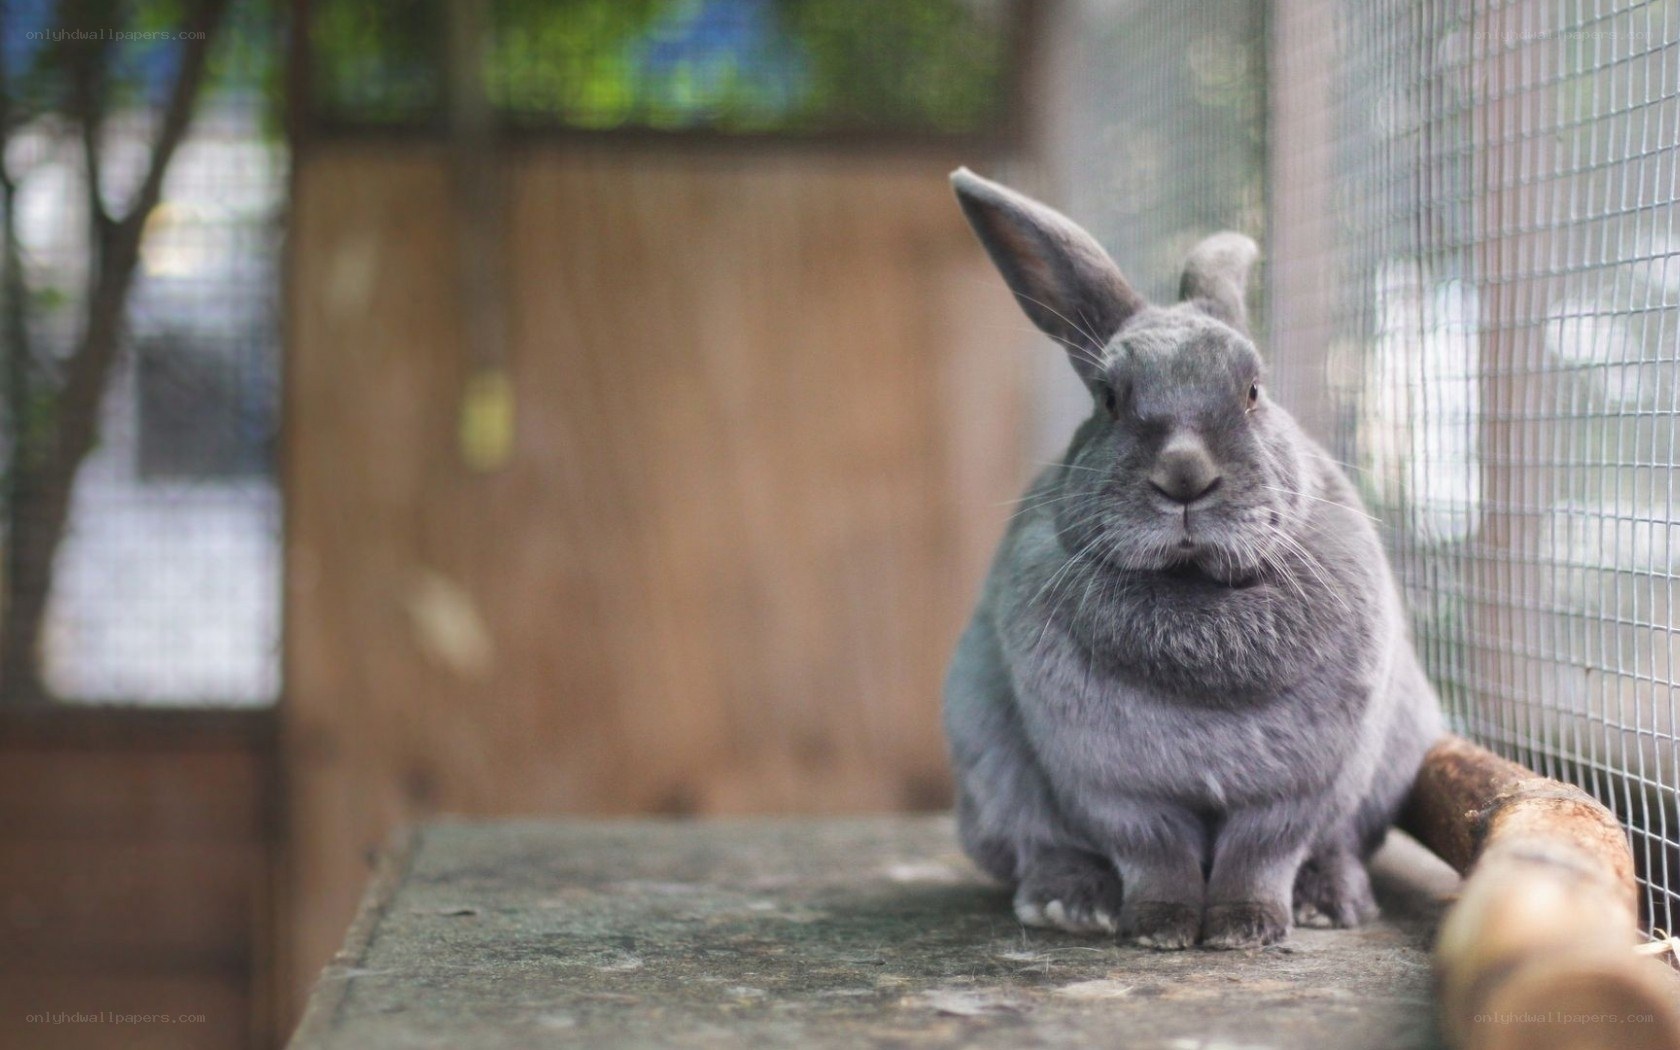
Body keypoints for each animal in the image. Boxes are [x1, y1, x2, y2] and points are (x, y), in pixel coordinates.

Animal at [943, 168, 1444, 950]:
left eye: (1254, 390)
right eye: (1110, 398)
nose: (1184, 477)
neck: (1193, 588)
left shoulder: (1296, 790)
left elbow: (1260, 856)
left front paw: (1245, 930)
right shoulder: (1115, 787)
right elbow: (1156, 856)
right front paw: (1161, 929)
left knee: (1338, 845)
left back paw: (1331, 902)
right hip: (988, 767)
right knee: (1039, 843)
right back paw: (1069, 904)